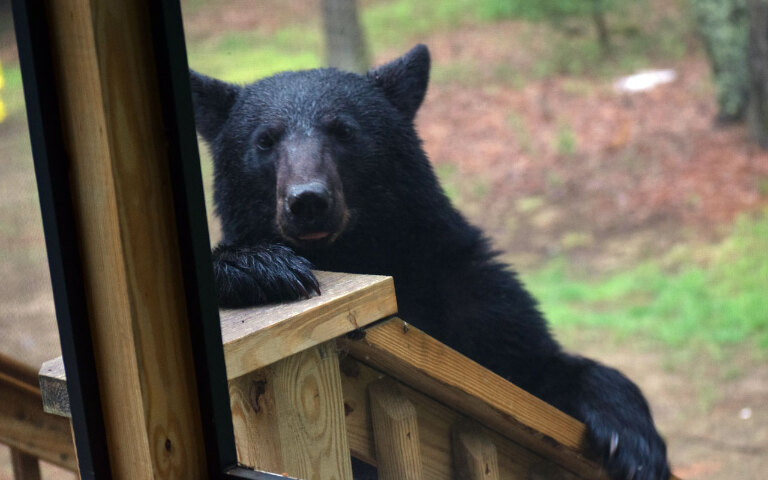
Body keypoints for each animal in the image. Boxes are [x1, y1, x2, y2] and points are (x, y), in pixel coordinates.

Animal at [190, 45, 670, 480]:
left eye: (343, 130)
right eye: (265, 140)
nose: (307, 200)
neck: (355, 251)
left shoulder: (465, 289)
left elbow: (534, 368)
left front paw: (635, 444)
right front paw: (259, 267)